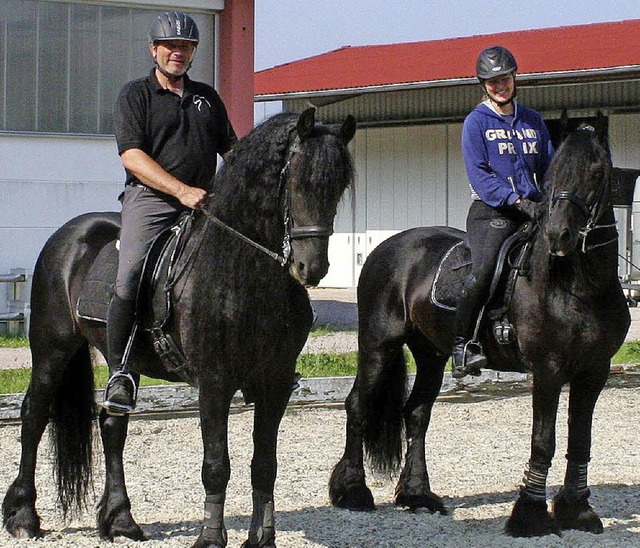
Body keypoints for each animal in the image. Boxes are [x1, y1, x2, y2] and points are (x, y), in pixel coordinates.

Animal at [3, 108, 356, 548]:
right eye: (296, 180)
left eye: (338, 187)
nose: (311, 268)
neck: (240, 273)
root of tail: (68, 235)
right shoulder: (215, 383)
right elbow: (216, 465)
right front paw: (210, 537)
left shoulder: (275, 382)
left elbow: (265, 464)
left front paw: (262, 538)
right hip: (52, 347)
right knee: (34, 415)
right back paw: (23, 516)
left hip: (123, 360)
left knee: (112, 424)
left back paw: (120, 520)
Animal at [330, 120, 632, 536]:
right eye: (554, 174)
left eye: (597, 172)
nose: (558, 235)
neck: (578, 285)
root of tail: (383, 248)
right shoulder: (549, 369)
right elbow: (544, 441)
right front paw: (530, 516)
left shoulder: (594, 370)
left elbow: (580, 441)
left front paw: (578, 511)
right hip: (379, 344)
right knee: (358, 405)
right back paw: (353, 493)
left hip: (431, 354)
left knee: (417, 413)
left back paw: (417, 495)